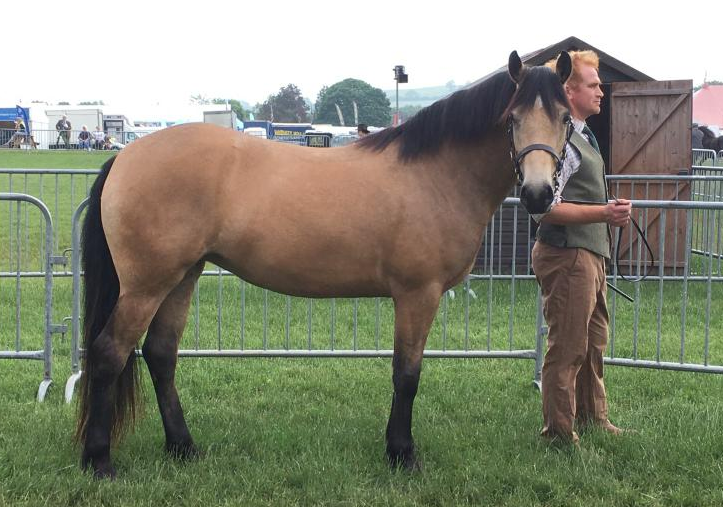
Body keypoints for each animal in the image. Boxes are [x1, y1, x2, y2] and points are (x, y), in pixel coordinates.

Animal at [76, 50, 573, 478]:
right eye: (512, 118)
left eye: (566, 119)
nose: (537, 194)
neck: (436, 174)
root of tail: (126, 155)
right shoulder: (418, 294)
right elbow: (407, 375)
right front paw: (402, 453)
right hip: (146, 285)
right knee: (109, 353)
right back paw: (99, 461)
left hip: (183, 276)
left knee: (161, 354)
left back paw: (183, 447)